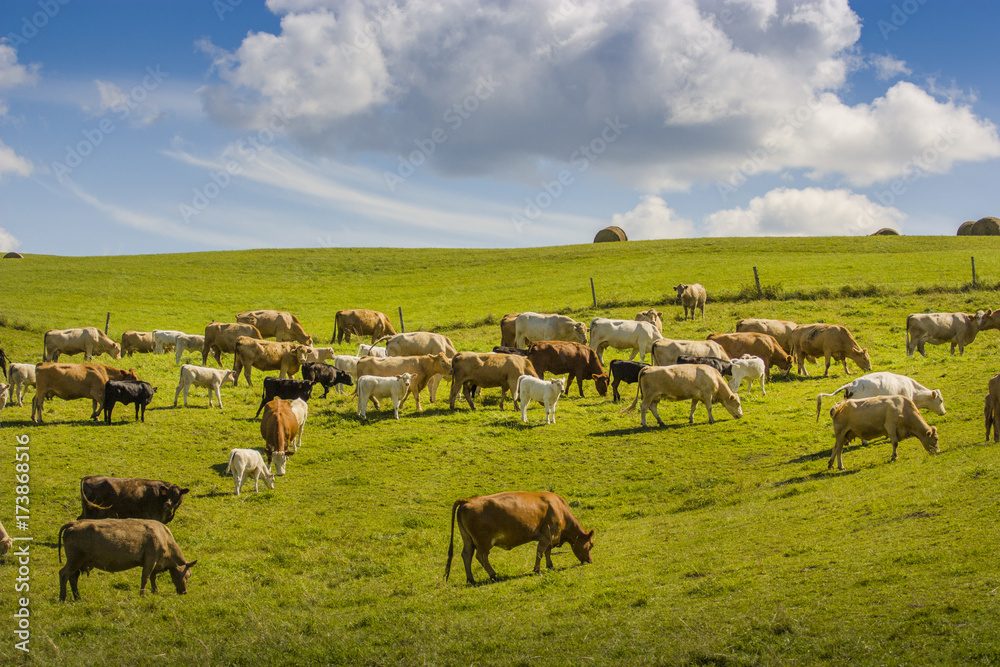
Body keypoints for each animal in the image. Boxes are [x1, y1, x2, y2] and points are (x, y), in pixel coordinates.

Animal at [58, 520, 197, 604]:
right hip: (75, 560)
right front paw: (142, 594)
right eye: (188, 575)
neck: (164, 537)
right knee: (63, 574)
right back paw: (62, 598)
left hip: (79, 562)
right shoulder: (150, 559)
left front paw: (155, 591)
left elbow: (153, 577)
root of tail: (74, 523)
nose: (184, 592)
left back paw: (77, 597)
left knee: (73, 577)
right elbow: (145, 577)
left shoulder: (155, 562)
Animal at [446, 490, 592, 584]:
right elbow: (540, 552)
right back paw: (494, 575)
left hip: (468, 540)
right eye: (591, 545)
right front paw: (537, 570)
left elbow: (547, 551)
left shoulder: (550, 538)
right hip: (483, 542)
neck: (559, 509)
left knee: (467, 555)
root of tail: (468, 500)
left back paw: (471, 579)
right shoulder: (547, 535)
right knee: (481, 556)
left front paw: (550, 566)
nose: (590, 561)